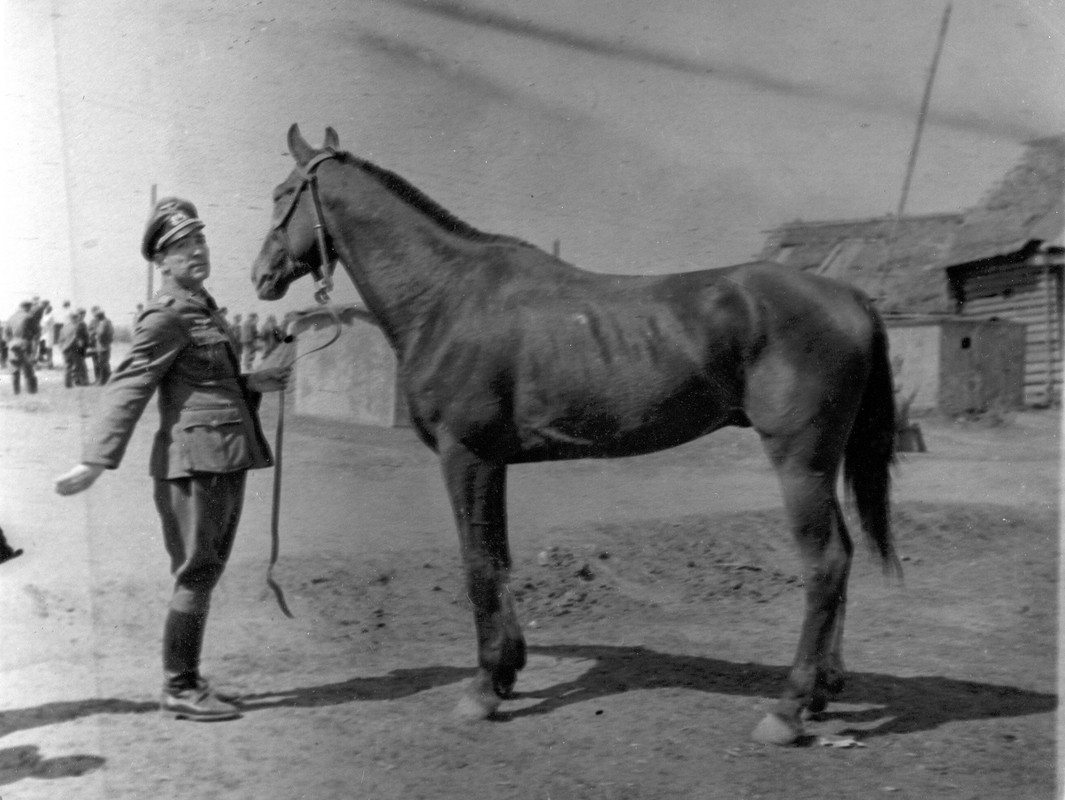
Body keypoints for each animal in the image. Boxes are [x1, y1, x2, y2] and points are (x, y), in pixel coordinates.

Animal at [252, 124, 900, 745]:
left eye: (282, 194)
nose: (261, 276)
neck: (447, 297)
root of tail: (851, 296)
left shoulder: (466, 456)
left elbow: (477, 564)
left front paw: (483, 690)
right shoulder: (494, 462)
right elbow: (500, 558)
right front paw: (507, 673)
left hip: (799, 460)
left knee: (824, 564)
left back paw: (787, 710)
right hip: (819, 462)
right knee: (842, 556)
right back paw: (821, 693)